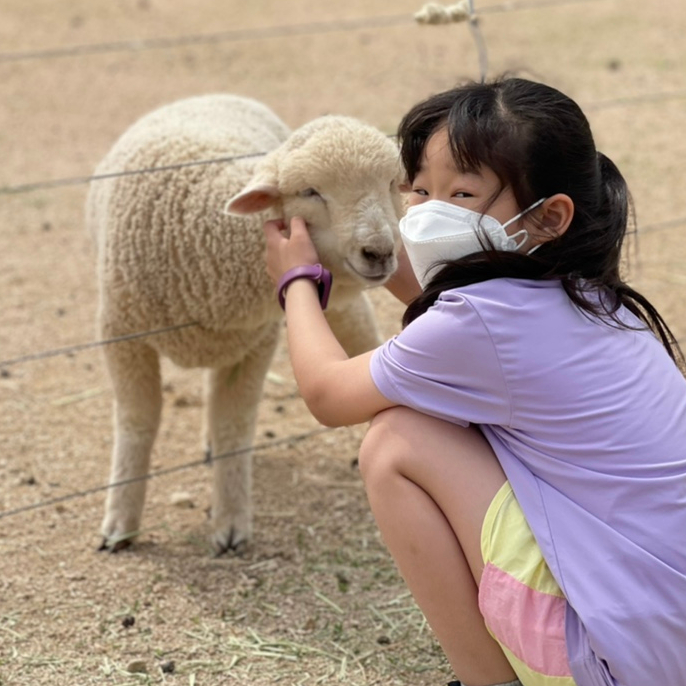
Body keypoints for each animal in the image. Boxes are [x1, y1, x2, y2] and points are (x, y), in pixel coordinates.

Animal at [88, 95, 406, 560]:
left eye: (393, 185)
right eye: (310, 192)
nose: (381, 251)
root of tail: (209, 96)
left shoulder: (257, 344)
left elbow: (233, 427)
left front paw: (231, 523)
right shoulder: (123, 334)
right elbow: (138, 423)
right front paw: (120, 524)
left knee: (361, 335)